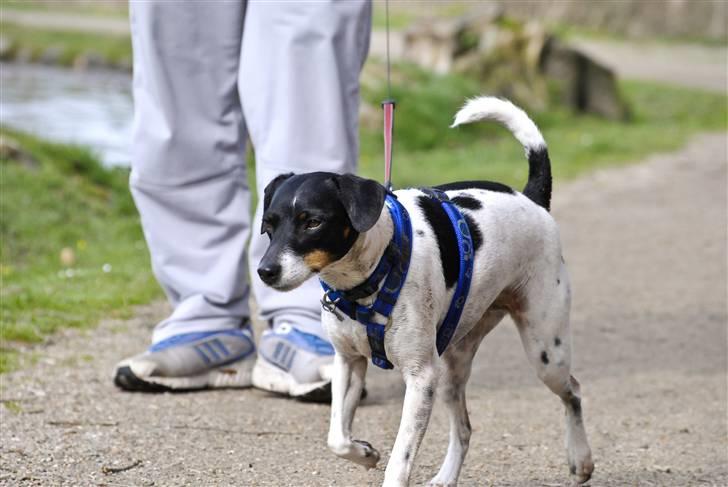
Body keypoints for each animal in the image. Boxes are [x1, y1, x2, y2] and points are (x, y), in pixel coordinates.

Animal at [258, 97, 596, 486]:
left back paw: (581, 459)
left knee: (574, 391)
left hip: (545, 353)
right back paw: (446, 478)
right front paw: (364, 453)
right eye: (268, 225)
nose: (265, 271)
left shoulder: (420, 380)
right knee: (464, 429)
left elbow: (400, 459)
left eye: (313, 222)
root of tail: (532, 200)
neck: (371, 272)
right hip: (453, 366)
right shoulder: (348, 362)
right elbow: (337, 438)